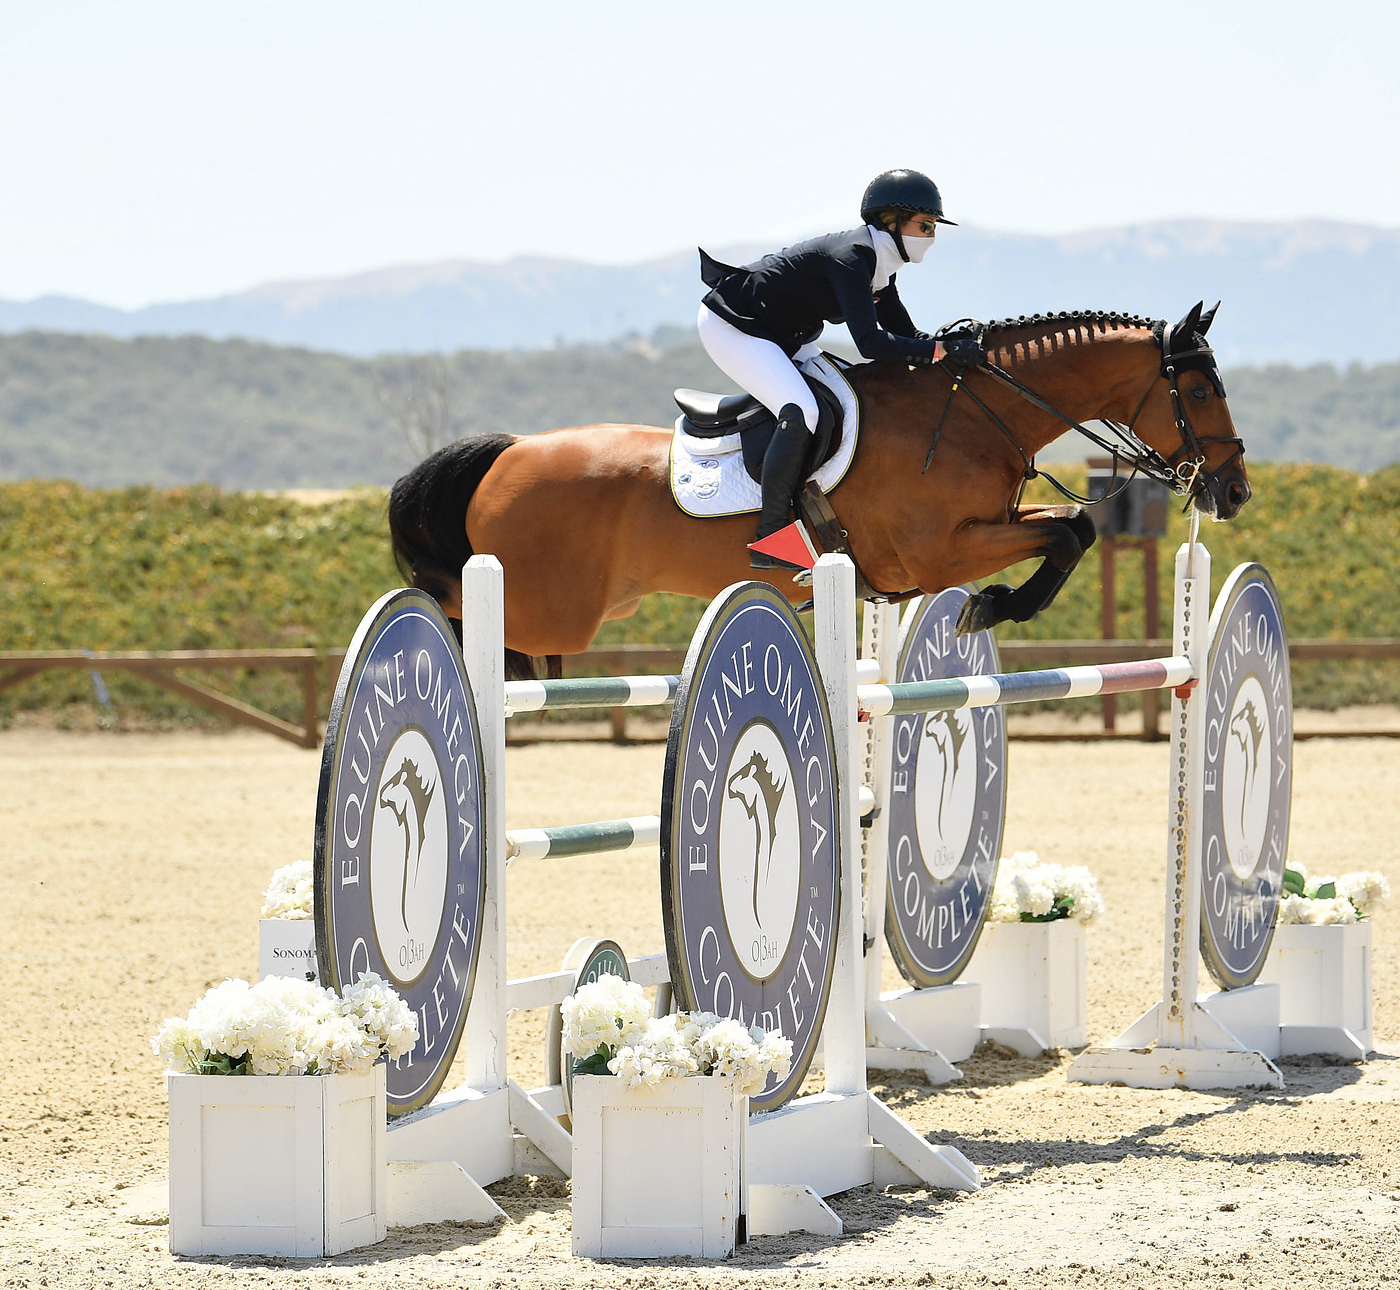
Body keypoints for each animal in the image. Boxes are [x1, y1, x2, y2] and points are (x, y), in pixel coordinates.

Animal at [389, 303, 1248, 678]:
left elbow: (1073, 526)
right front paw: (991, 606)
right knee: (455, 610)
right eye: (1203, 391)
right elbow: (1068, 531)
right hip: (549, 607)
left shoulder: (986, 525)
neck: (973, 410)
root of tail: (507, 455)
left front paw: (994, 605)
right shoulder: (938, 554)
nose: (1234, 491)